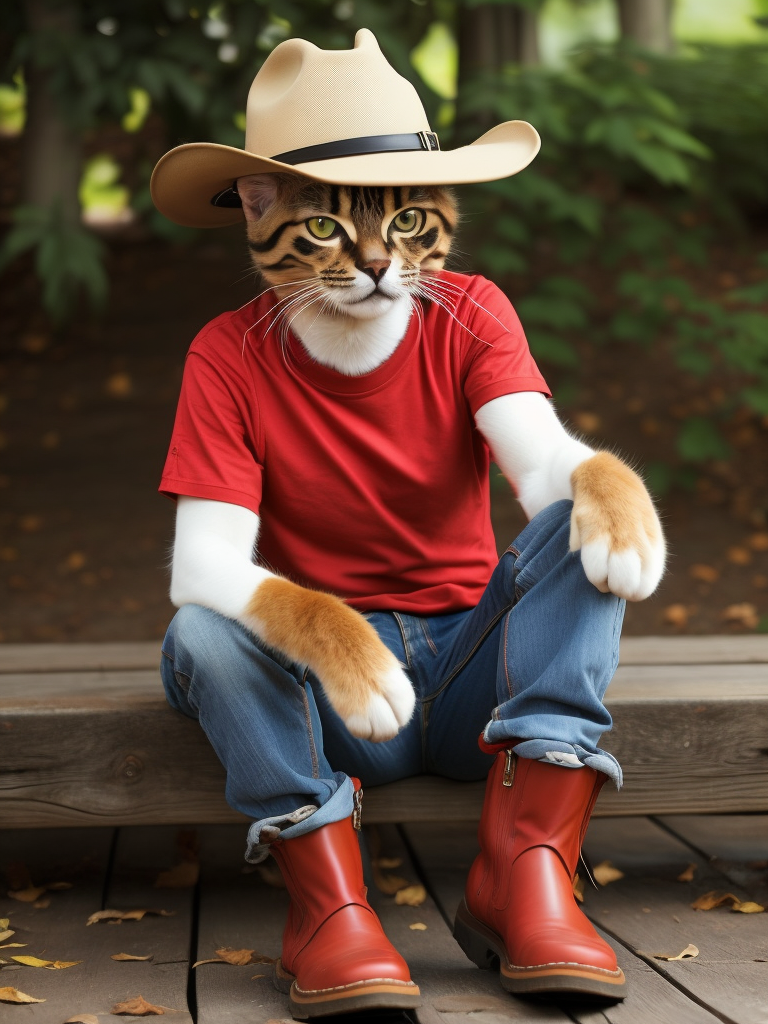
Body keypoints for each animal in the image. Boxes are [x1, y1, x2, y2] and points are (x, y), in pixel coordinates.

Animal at [169, 174, 667, 737]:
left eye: (406, 219)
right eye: (321, 226)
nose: (376, 268)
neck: (352, 335)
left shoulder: (496, 321)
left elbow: (580, 463)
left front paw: (627, 539)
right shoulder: (205, 373)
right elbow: (290, 595)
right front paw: (370, 679)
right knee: (204, 628)